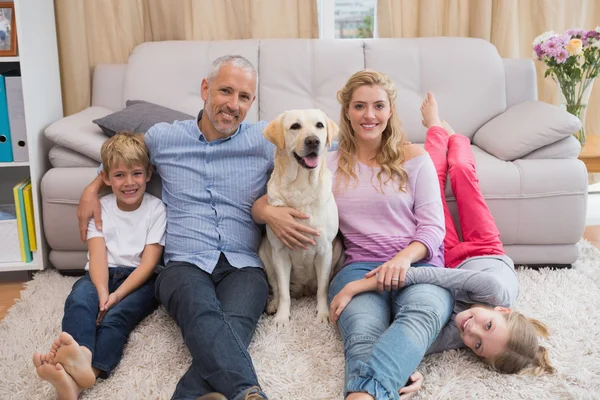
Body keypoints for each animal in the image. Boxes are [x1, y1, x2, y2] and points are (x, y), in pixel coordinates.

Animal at [258, 109, 342, 324]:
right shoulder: (279, 251)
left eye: (320, 125)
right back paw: (273, 305)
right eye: (295, 126)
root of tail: (303, 291)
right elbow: (283, 292)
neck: (301, 185)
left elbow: (322, 288)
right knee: (277, 287)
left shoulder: (324, 249)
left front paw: (323, 314)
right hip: (264, 252)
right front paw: (282, 317)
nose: (313, 141)